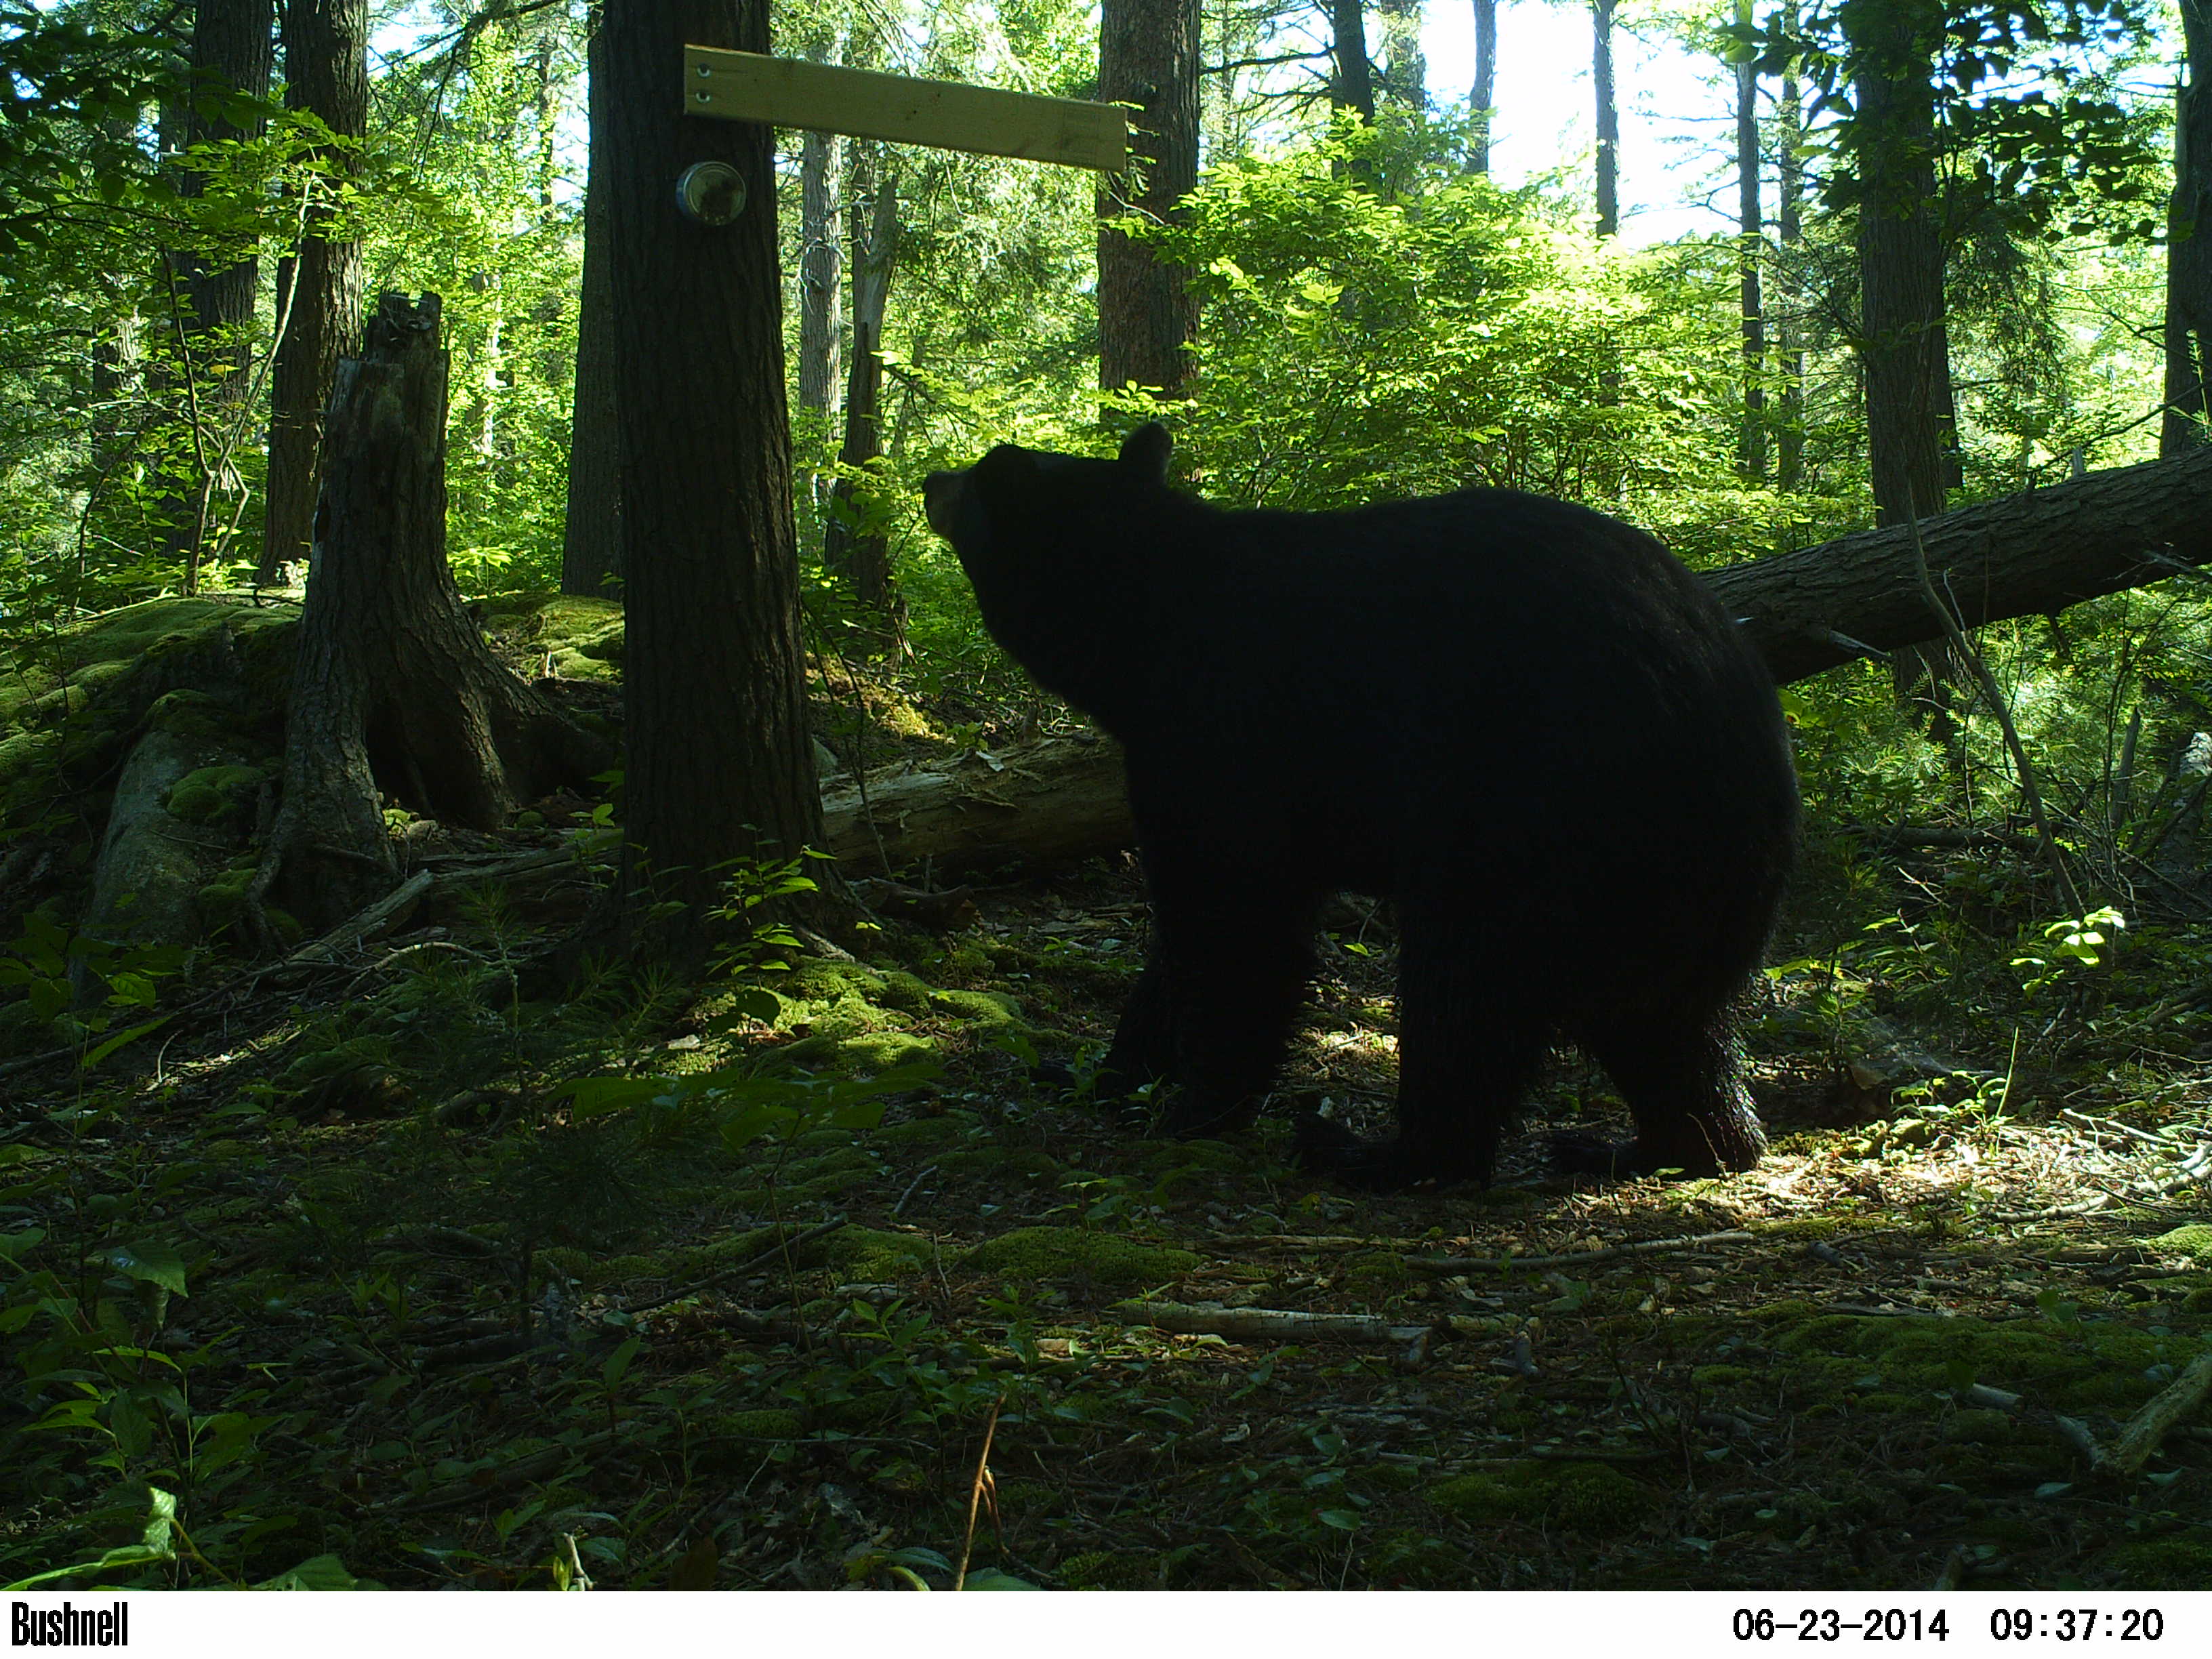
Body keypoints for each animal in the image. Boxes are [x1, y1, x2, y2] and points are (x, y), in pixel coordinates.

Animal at [922, 423, 1798, 1190]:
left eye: (979, 476)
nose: (931, 478)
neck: (1144, 636)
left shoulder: (1225, 737)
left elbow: (1231, 920)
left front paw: (1196, 1103)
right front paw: (1097, 1071)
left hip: (1542, 816)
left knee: (1467, 987)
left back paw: (1376, 1152)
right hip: (1674, 885)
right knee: (1669, 1025)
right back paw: (1654, 1143)